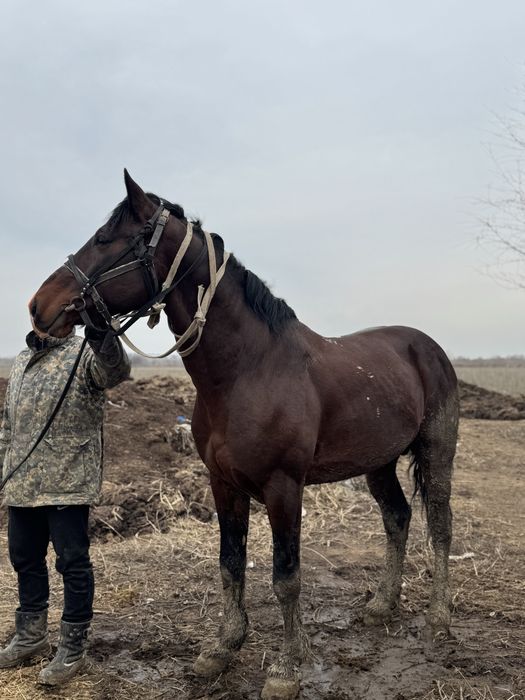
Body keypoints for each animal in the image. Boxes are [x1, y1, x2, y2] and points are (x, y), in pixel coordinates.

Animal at [30, 171, 459, 700]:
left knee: (440, 526)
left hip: (437, 453)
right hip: (378, 461)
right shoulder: (223, 484)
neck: (248, 371)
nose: (39, 307)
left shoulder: (283, 488)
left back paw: (439, 618)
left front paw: (286, 670)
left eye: (107, 240)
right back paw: (382, 605)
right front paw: (223, 648)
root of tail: (428, 346)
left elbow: (286, 577)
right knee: (397, 518)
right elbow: (230, 563)